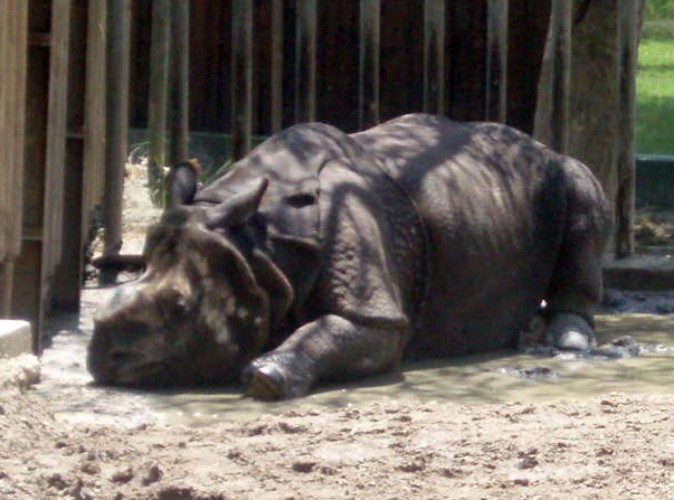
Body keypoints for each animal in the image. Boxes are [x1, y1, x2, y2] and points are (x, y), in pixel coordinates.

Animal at [88, 113, 611, 399]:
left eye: (181, 308)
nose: (103, 362)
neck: (258, 246)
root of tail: (538, 144)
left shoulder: (379, 313)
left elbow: (342, 327)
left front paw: (264, 378)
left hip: (562, 171)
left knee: (582, 187)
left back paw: (566, 343)